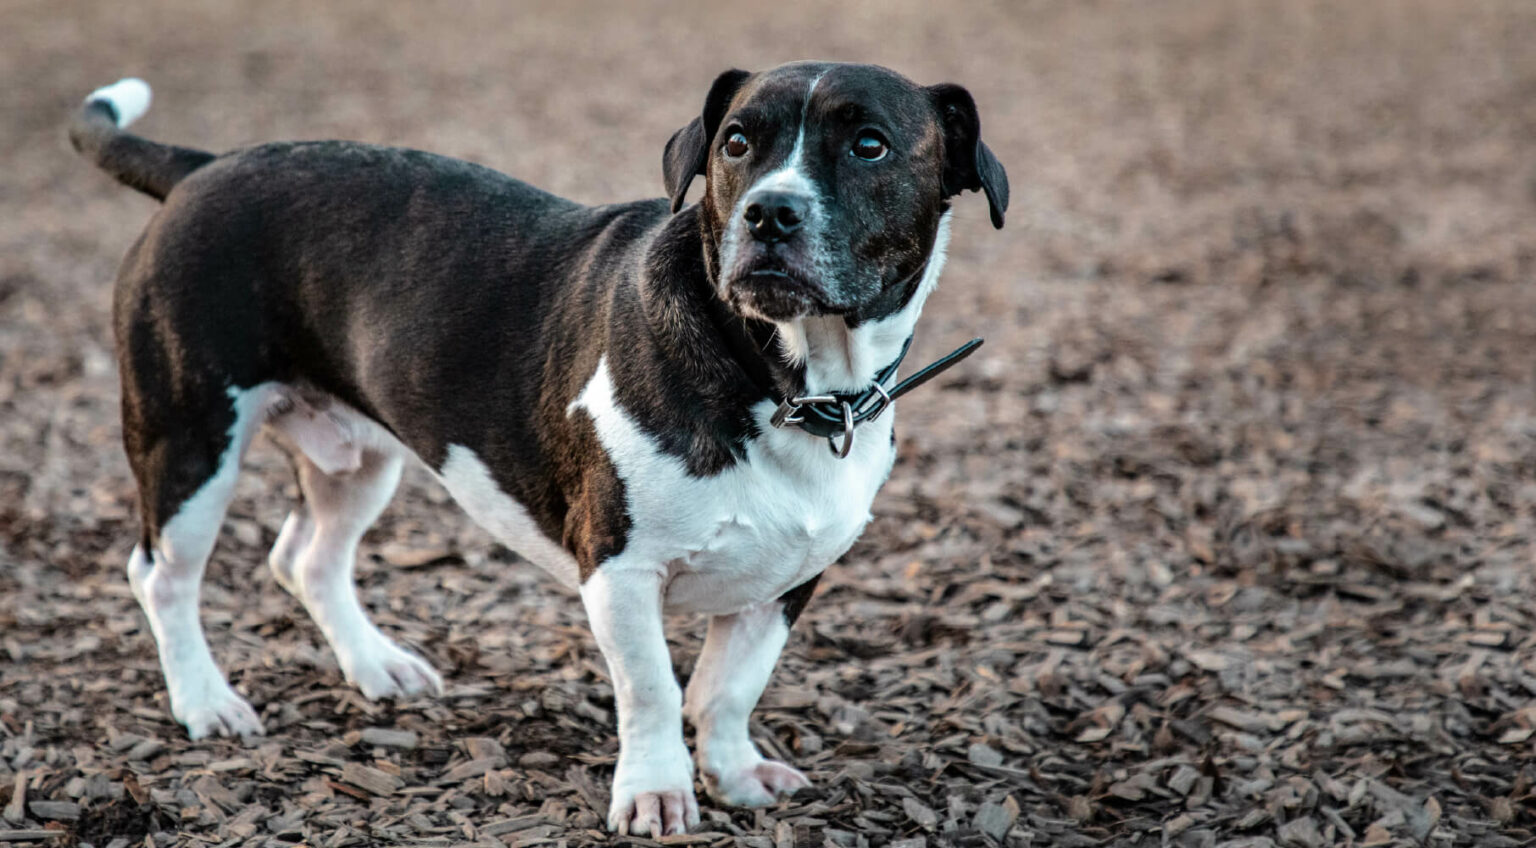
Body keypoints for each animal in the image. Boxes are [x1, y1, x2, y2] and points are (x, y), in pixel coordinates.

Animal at [69, 61, 1007, 835]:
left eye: (870, 145)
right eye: (737, 142)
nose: (770, 210)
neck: (788, 377)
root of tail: (203, 169)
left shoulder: (788, 581)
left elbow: (729, 689)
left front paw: (734, 774)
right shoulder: (620, 572)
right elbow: (654, 691)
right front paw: (656, 793)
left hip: (360, 458)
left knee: (308, 556)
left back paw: (375, 666)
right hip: (190, 438)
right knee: (164, 575)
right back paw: (205, 704)